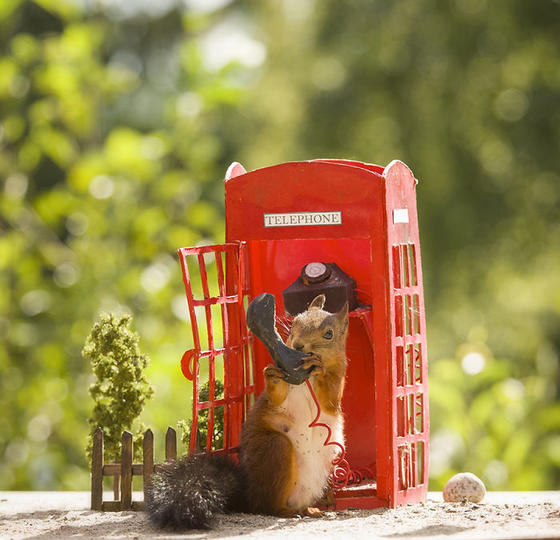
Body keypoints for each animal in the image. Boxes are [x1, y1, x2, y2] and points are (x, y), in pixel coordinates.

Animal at [147, 294, 348, 528]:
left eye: (328, 334)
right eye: (294, 324)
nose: (298, 345)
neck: (308, 376)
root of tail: (247, 497)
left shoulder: (338, 383)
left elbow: (329, 398)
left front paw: (321, 368)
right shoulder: (278, 395)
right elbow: (276, 396)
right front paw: (272, 374)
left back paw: (309, 510)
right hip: (275, 448)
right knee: (267, 506)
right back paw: (291, 511)